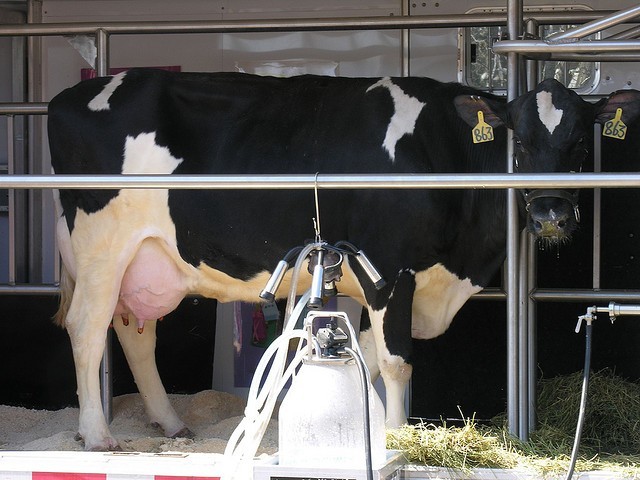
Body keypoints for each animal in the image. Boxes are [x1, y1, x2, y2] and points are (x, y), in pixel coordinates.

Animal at [47, 67, 640, 451]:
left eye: (580, 144)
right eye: (519, 141)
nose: (550, 214)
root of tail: (70, 96)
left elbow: (370, 361)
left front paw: (371, 430)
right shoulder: (390, 270)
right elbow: (397, 362)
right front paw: (398, 437)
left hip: (148, 259)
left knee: (135, 332)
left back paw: (171, 424)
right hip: (101, 246)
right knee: (86, 327)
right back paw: (97, 436)